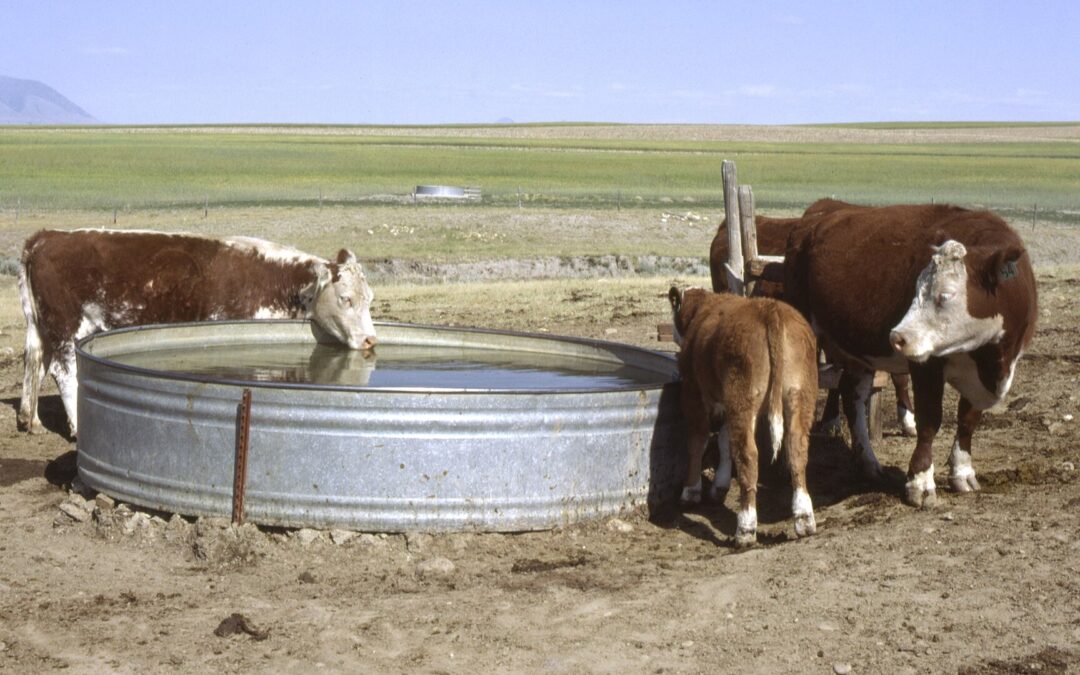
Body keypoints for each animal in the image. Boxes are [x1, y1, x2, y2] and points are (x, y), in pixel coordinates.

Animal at [18, 229, 378, 437]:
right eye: (345, 298)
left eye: (370, 298)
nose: (371, 339)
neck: (276, 280)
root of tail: (47, 236)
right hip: (67, 326)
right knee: (64, 371)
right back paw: (78, 426)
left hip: (40, 326)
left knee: (34, 362)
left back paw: (30, 420)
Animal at [668, 286, 818, 546]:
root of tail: (770, 309)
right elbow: (724, 441)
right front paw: (719, 487)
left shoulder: (693, 391)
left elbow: (698, 440)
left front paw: (691, 491)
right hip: (800, 395)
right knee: (796, 449)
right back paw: (804, 519)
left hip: (742, 397)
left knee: (748, 454)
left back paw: (746, 528)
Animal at [784, 203, 1037, 507]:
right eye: (916, 289)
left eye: (945, 295)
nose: (897, 337)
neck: (990, 359)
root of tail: (818, 217)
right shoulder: (927, 365)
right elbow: (929, 421)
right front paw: (921, 482)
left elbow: (968, 419)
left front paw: (963, 472)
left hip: (858, 353)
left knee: (851, 394)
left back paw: (868, 463)